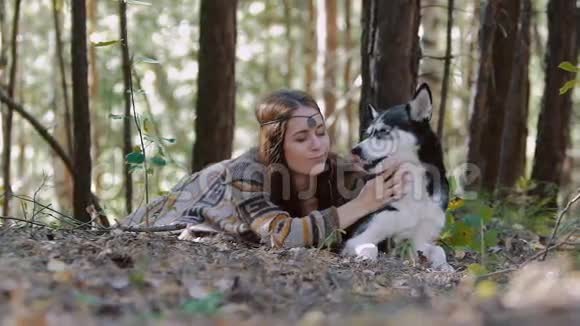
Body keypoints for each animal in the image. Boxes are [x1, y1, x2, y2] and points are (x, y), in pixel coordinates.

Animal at [344, 84, 454, 272]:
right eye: (368, 133)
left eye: (382, 131)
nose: (354, 150)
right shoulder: (359, 236)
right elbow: (370, 246)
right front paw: (366, 258)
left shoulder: (419, 242)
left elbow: (439, 250)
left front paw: (445, 267)